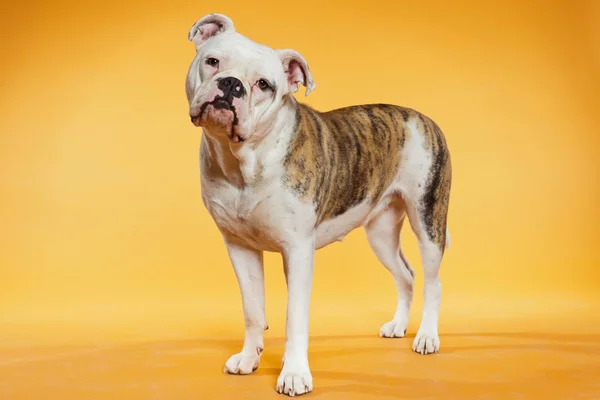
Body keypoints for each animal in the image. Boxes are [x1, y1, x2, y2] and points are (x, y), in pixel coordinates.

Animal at [185, 13, 452, 396]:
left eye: (264, 84)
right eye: (212, 61)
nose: (232, 85)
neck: (244, 158)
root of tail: (422, 118)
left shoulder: (297, 251)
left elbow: (295, 317)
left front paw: (294, 374)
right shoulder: (239, 247)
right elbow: (253, 310)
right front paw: (249, 359)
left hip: (428, 219)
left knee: (432, 281)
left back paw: (427, 337)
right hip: (381, 233)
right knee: (406, 275)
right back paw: (398, 326)